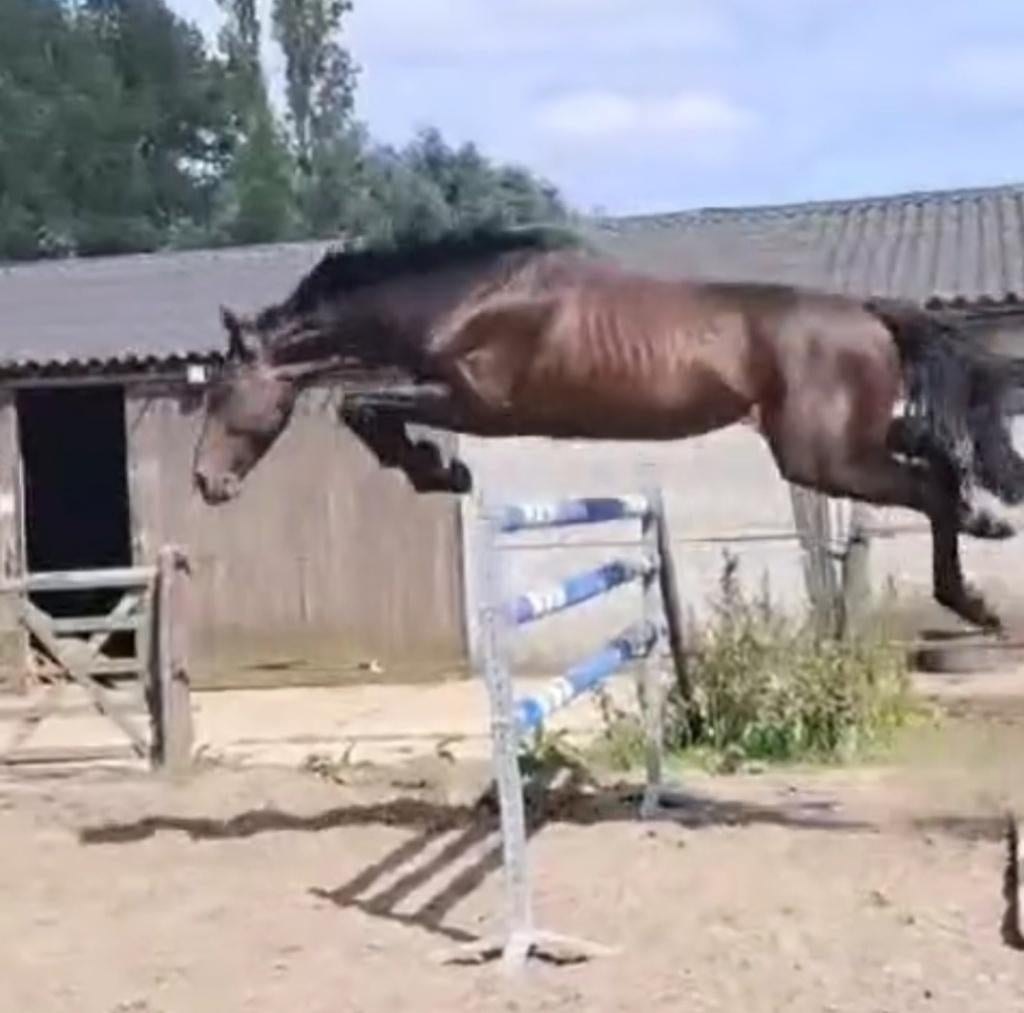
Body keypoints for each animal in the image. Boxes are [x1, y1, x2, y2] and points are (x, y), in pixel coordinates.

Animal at [191, 224, 1024, 631]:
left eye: (222, 389)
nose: (206, 482)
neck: (467, 298)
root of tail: (870, 315)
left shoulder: (474, 403)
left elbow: (362, 407)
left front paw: (440, 470)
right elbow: (365, 408)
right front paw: (437, 468)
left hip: (823, 457)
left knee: (928, 483)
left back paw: (971, 598)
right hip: (843, 444)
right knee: (935, 459)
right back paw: (984, 526)